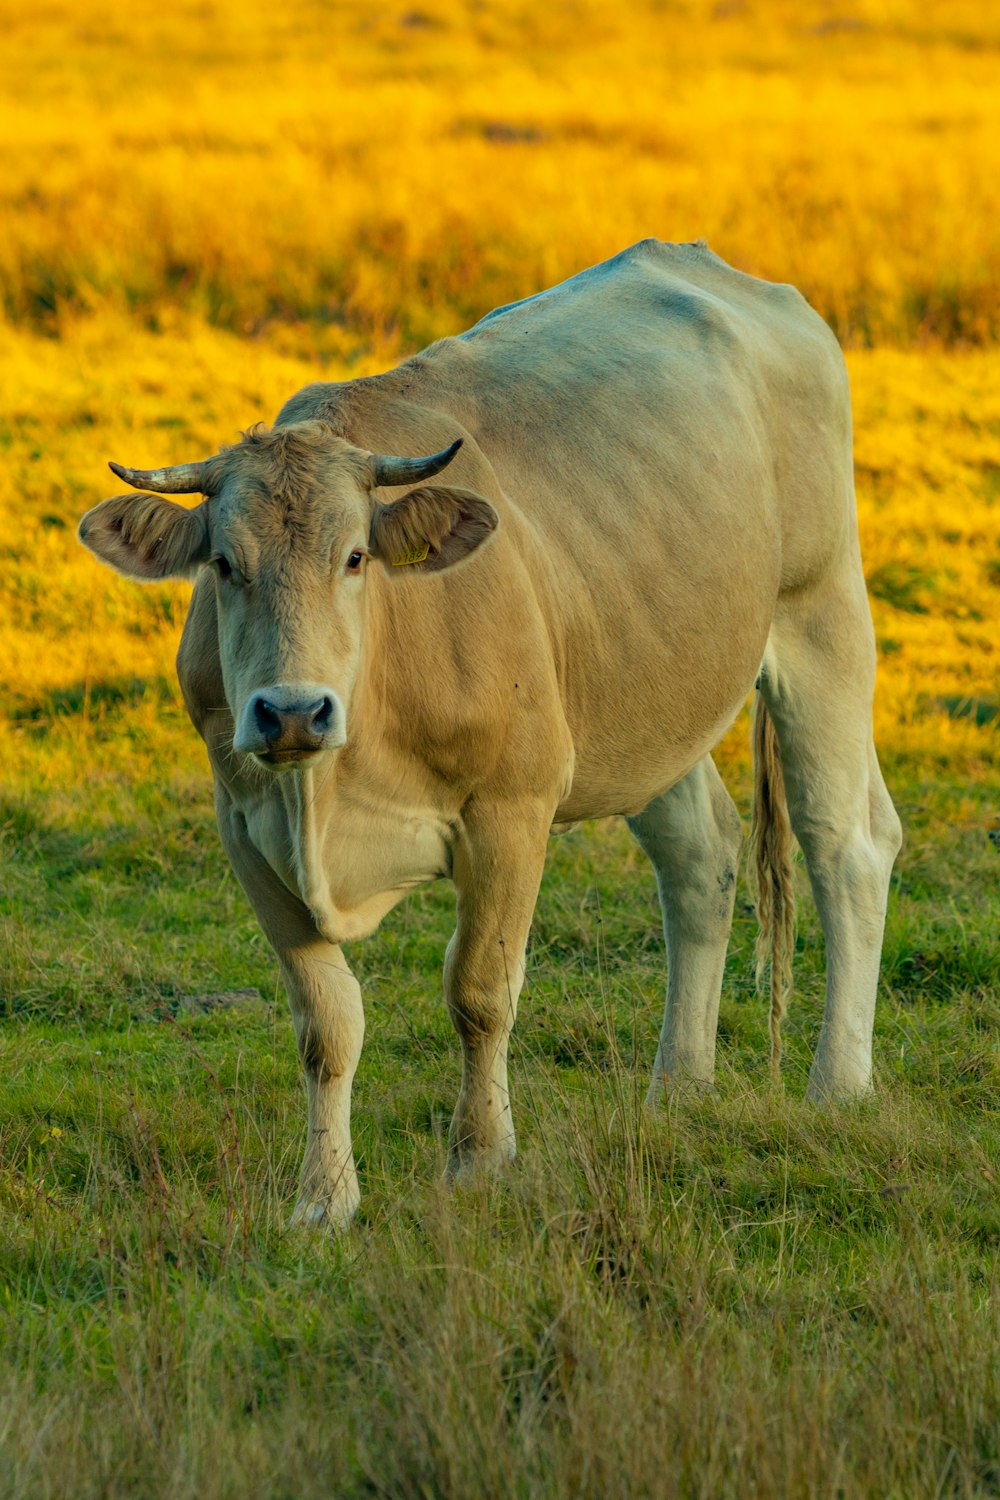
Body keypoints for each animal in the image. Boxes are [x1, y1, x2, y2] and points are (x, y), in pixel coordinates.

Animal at [80, 237, 905, 1230]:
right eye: (223, 563)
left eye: (354, 556)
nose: (292, 710)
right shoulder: (245, 827)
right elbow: (326, 1023)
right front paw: (324, 1198)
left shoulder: (513, 806)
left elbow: (479, 992)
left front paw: (480, 1160)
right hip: (649, 691)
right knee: (702, 857)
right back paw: (679, 1087)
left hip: (821, 613)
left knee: (847, 843)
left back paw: (839, 1084)